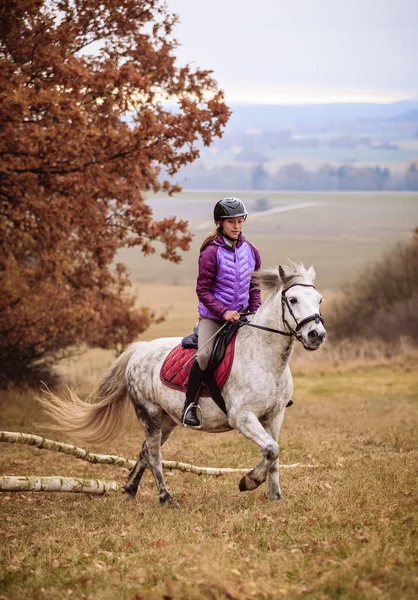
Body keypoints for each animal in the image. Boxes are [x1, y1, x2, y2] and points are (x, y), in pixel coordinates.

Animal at [40, 264, 324, 504]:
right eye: (293, 300)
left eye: (319, 299)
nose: (316, 335)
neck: (265, 356)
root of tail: (139, 350)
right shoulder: (242, 418)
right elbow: (271, 449)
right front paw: (249, 481)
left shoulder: (274, 416)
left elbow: (273, 453)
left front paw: (275, 496)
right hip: (149, 414)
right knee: (154, 454)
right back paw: (166, 498)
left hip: (167, 419)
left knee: (145, 451)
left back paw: (130, 490)